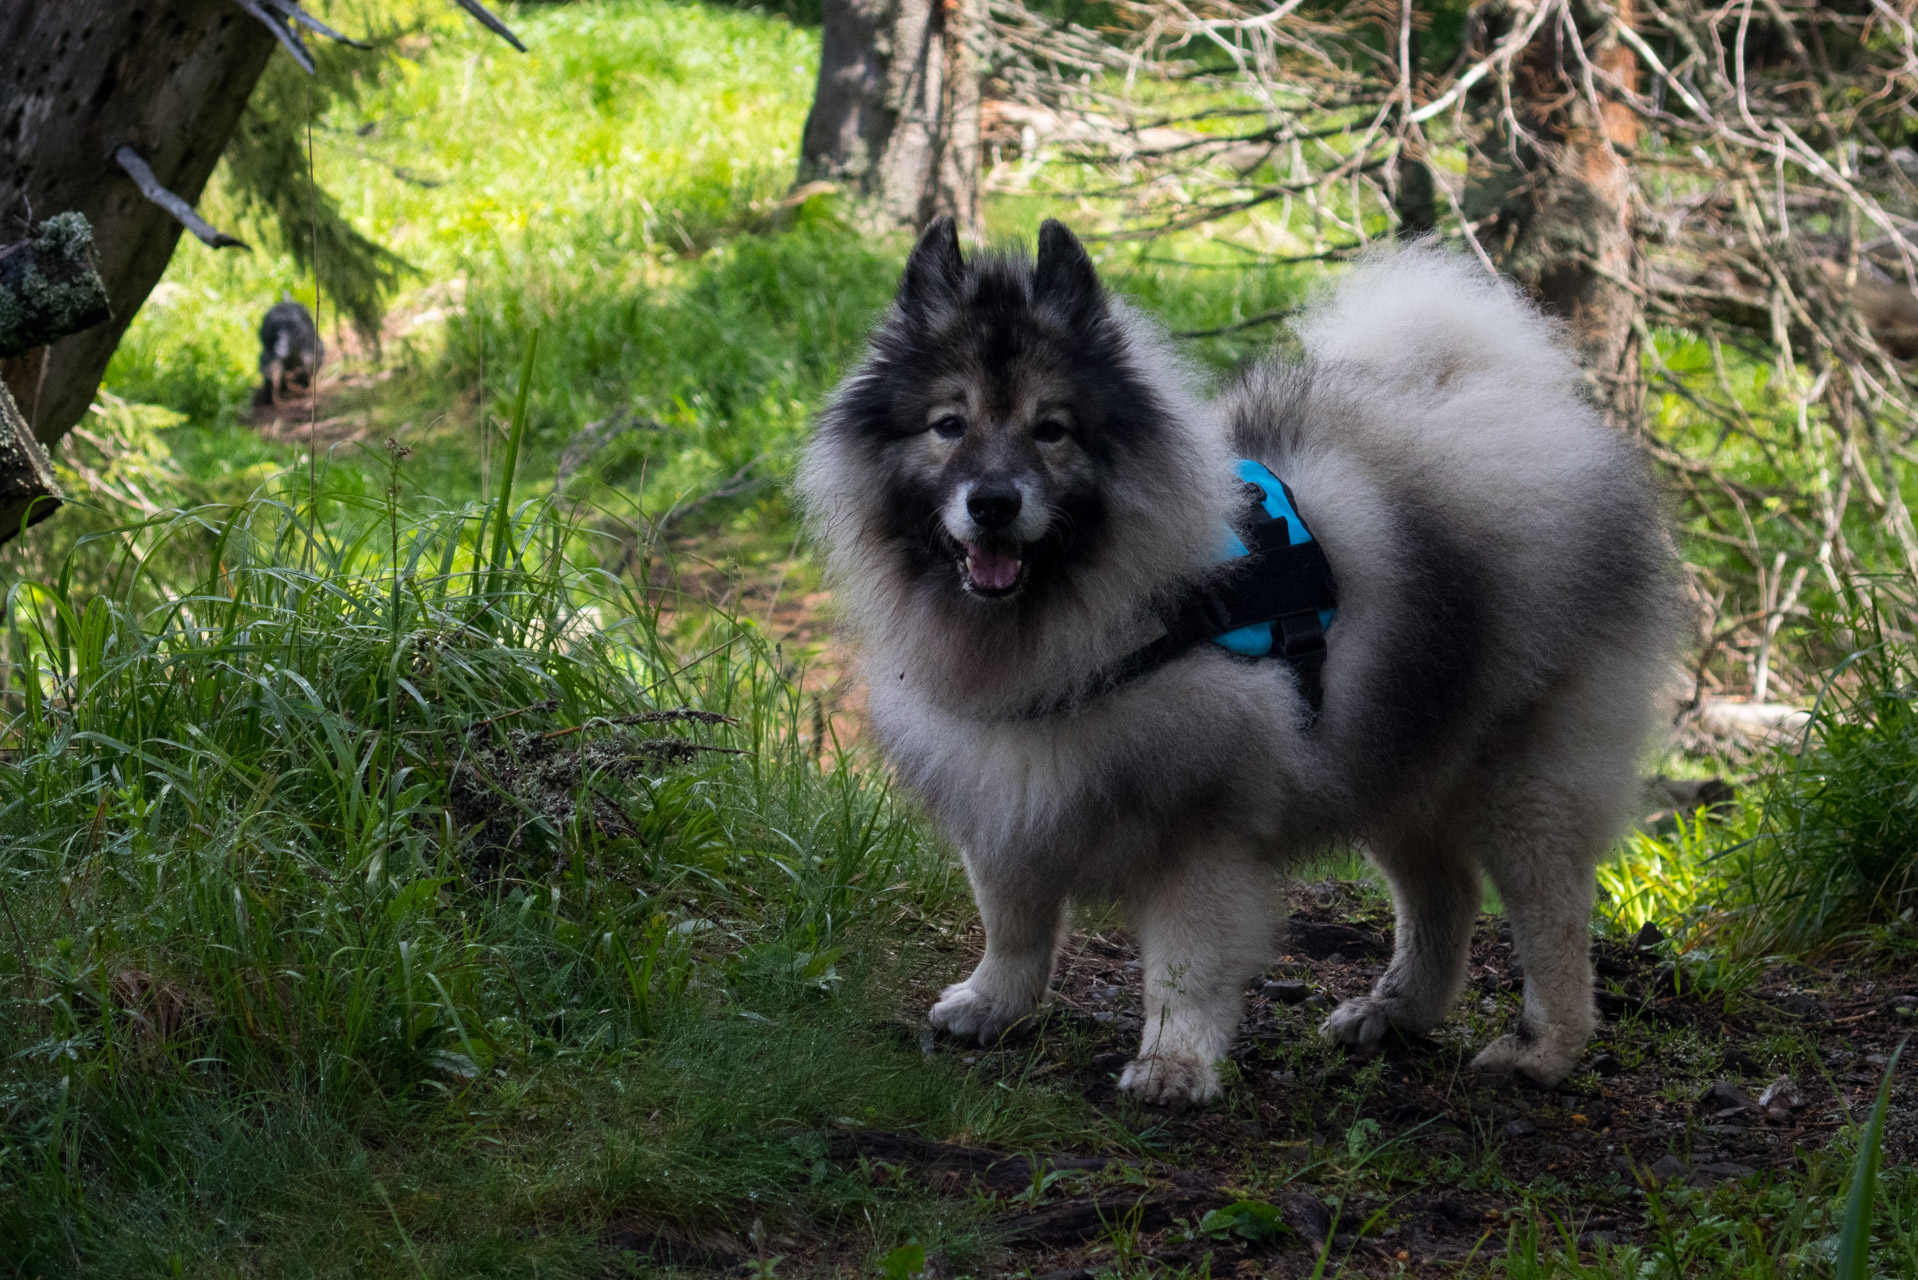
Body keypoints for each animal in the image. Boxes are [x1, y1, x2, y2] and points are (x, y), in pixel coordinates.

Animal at [801, 214, 1672, 1105]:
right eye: (950, 424)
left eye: (1052, 429)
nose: (994, 503)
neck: (1074, 620)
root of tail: (1501, 400)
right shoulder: (1005, 792)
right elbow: (1014, 920)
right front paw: (995, 1002)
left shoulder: (1201, 825)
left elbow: (1184, 965)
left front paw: (1173, 1062)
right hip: (1396, 751)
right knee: (1446, 896)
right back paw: (1396, 1011)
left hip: (1519, 778)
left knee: (1552, 915)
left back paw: (1545, 1048)